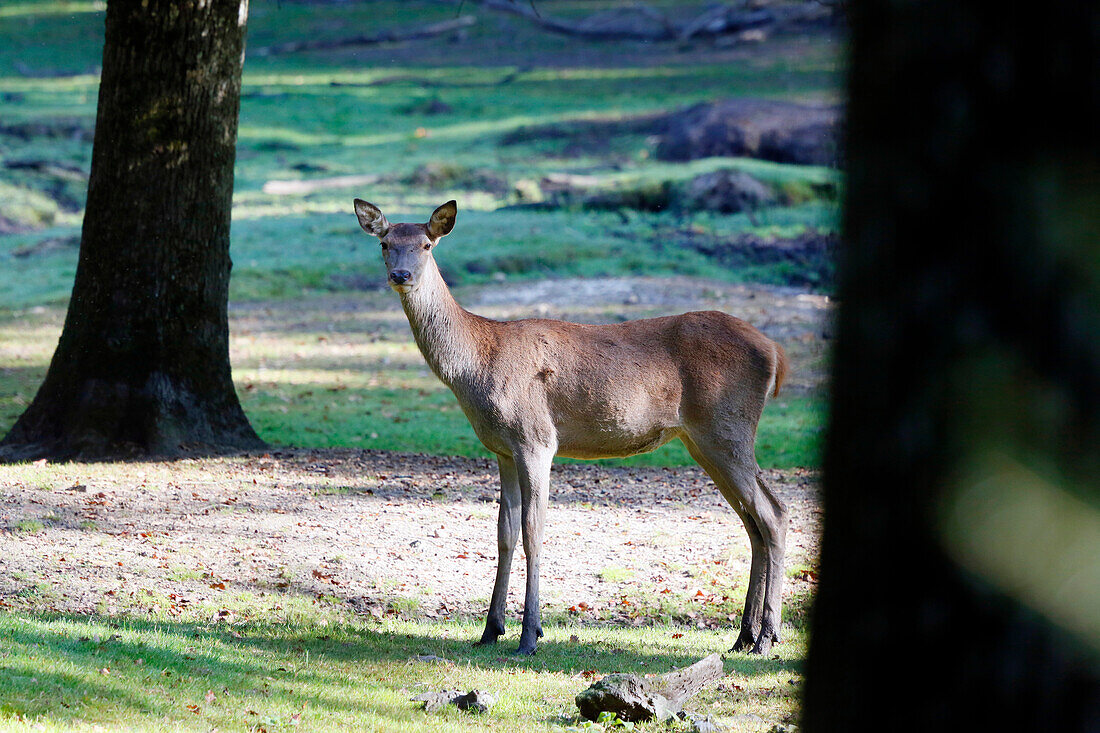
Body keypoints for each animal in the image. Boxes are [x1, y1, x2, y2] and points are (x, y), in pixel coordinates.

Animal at [352, 197, 792, 651]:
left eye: (426, 244)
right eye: (385, 243)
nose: (400, 275)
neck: (476, 364)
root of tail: (776, 353)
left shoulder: (536, 439)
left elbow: (533, 531)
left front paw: (530, 634)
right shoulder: (501, 448)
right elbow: (504, 534)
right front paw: (490, 630)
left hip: (726, 427)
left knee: (773, 514)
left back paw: (767, 635)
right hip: (703, 440)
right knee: (753, 521)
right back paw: (744, 635)